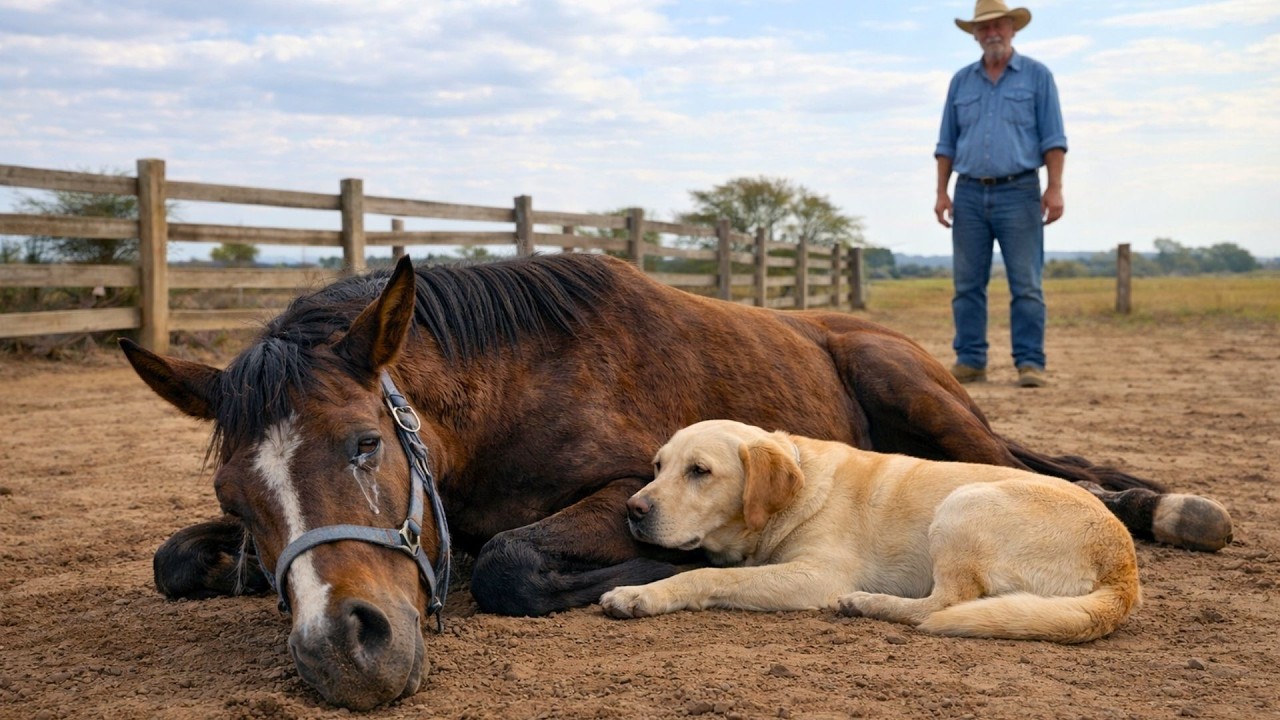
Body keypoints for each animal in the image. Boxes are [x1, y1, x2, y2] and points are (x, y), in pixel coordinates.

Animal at [121, 252, 1232, 709]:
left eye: (363, 445)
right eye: (235, 498)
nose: (343, 651)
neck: (511, 376)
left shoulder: (625, 484)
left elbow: (513, 563)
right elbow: (170, 559)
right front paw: (228, 569)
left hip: (917, 397)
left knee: (1017, 465)